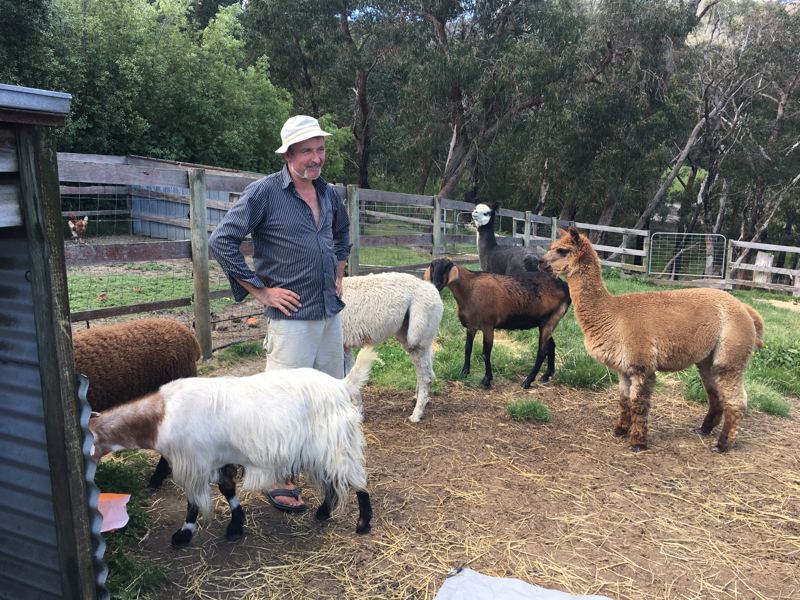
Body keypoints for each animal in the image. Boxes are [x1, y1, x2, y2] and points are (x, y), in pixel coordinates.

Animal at [89, 347, 379, 546]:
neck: (161, 415)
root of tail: (342, 385)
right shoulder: (218, 458)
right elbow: (227, 489)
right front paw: (237, 526)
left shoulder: (195, 463)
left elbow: (193, 502)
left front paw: (184, 534)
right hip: (320, 449)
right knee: (331, 482)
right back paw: (323, 513)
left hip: (337, 444)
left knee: (357, 480)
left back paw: (363, 523)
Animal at [340, 272, 443, 422]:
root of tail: (432, 288)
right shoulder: (344, 345)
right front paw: (358, 411)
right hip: (410, 333)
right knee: (426, 366)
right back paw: (418, 399)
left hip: (417, 332)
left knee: (426, 376)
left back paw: (416, 415)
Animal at [424, 258, 571, 389]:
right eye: (432, 267)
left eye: (447, 268)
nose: (435, 284)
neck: (470, 289)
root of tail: (564, 286)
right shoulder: (471, 326)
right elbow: (467, 348)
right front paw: (464, 372)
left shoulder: (488, 326)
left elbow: (485, 353)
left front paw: (487, 380)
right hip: (545, 322)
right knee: (551, 345)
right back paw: (546, 375)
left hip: (551, 320)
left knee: (542, 351)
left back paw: (527, 382)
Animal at [539, 227, 764, 452]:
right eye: (551, 247)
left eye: (562, 250)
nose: (540, 262)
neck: (613, 315)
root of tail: (745, 308)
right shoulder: (623, 368)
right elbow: (624, 401)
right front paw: (620, 430)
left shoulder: (642, 365)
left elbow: (638, 405)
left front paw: (638, 443)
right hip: (707, 359)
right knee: (715, 393)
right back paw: (704, 429)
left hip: (730, 354)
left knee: (737, 400)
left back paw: (723, 444)